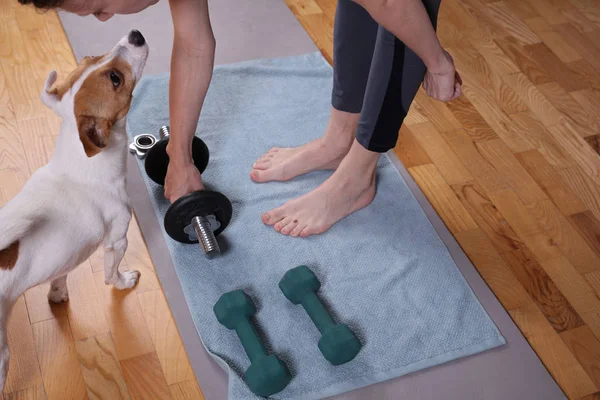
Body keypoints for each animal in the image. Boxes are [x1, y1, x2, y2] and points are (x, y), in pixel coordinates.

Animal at [0, 30, 149, 390]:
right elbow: (112, 275)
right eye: (115, 78)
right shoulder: (118, 241)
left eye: (91, 57)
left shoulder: (64, 257)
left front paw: (58, 295)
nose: (135, 34)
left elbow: (60, 276)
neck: (81, 164)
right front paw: (125, 280)